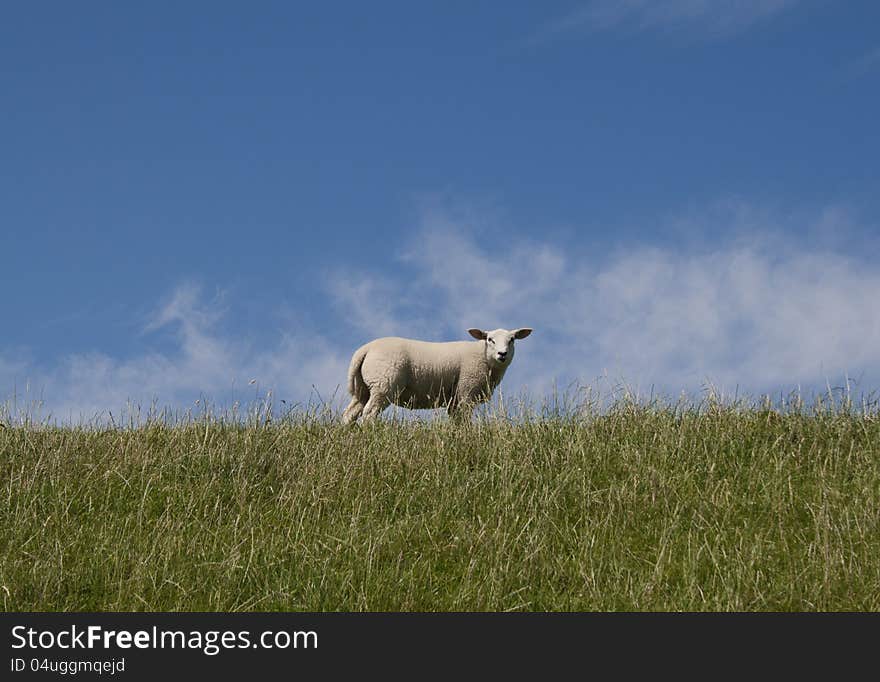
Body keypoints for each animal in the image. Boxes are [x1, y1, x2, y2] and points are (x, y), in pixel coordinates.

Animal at [342, 326, 536, 422]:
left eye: (512, 340)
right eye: (490, 340)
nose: (502, 354)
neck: (484, 358)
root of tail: (365, 350)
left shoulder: (455, 399)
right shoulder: (467, 390)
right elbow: (464, 420)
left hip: (364, 389)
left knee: (349, 414)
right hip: (384, 384)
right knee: (369, 413)